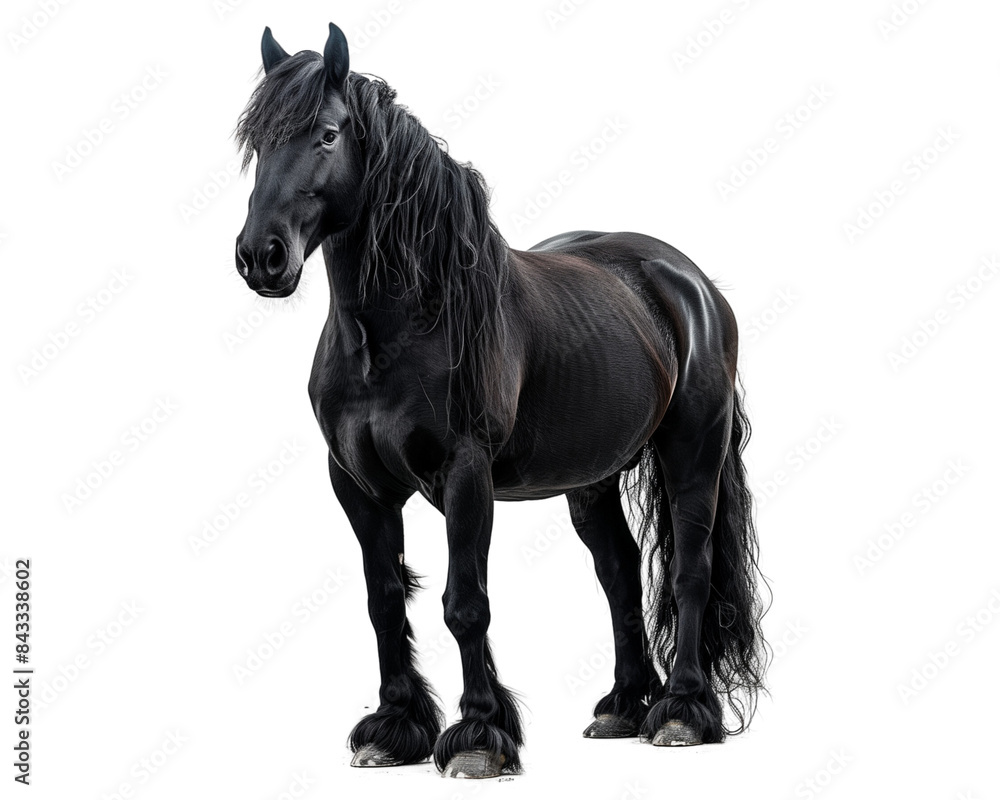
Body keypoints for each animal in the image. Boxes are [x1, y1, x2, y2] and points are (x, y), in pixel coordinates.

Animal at [234, 23, 767, 778]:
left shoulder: (466, 473)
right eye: (257, 141)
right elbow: (384, 601)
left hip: (692, 451)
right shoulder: (358, 485)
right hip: (592, 480)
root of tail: (691, 283)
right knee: (620, 573)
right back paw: (622, 707)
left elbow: (466, 605)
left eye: (329, 134)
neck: (398, 329)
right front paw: (394, 729)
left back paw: (681, 712)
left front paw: (479, 736)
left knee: (690, 569)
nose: (262, 257)